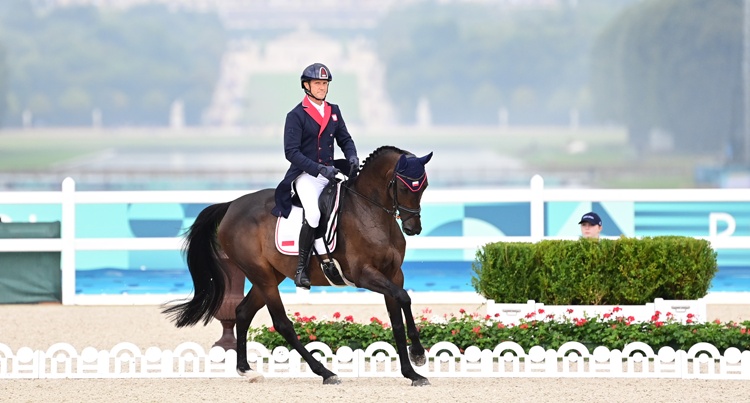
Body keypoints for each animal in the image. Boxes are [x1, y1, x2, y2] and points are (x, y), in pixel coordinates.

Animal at [164, 146, 434, 388]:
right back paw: (325, 373)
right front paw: (419, 353)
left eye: (424, 186)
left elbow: (398, 317)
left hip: (270, 276)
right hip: (262, 276)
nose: (413, 228)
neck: (370, 211)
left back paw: (246, 370)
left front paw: (412, 372)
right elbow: (404, 298)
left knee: (242, 312)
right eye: (404, 187)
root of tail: (232, 205)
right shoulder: (364, 275)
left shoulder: (393, 275)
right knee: (282, 323)